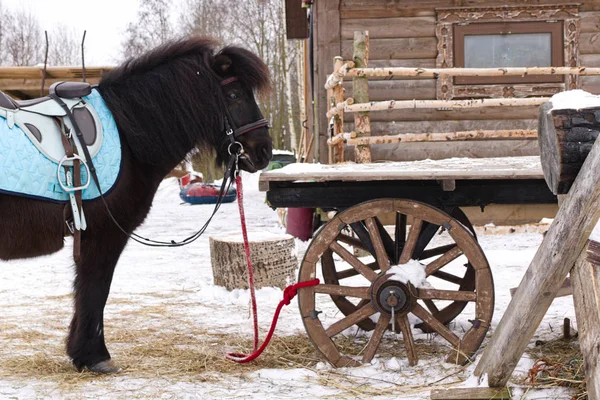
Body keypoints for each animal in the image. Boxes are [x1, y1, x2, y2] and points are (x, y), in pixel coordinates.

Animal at [0, 36, 272, 374]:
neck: (128, 135)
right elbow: (95, 290)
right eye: (234, 95)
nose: (264, 151)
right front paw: (93, 356)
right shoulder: (104, 235)